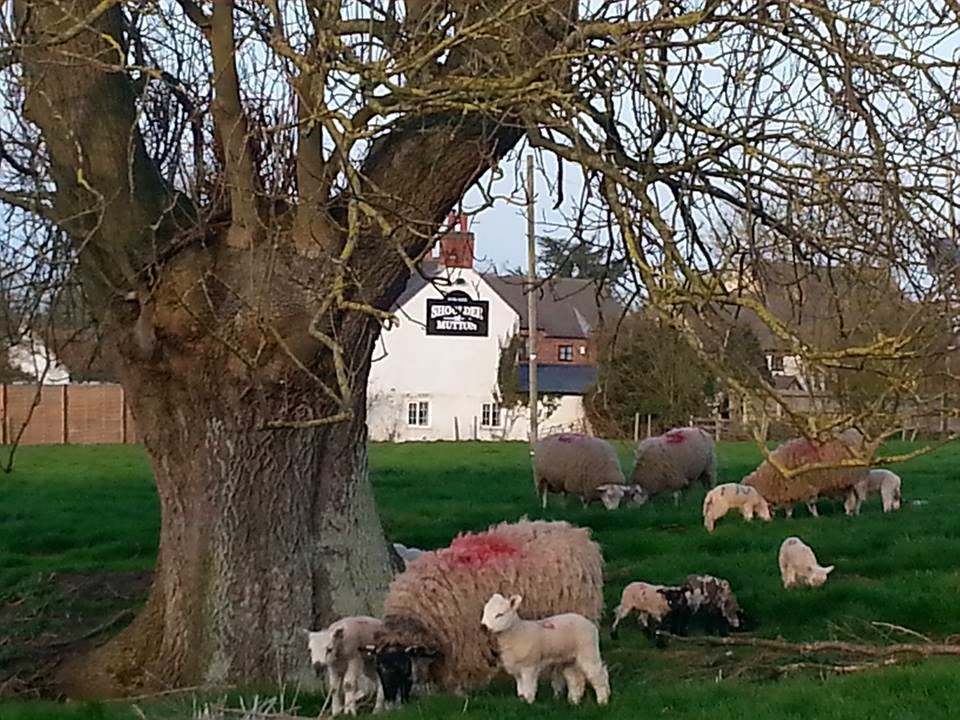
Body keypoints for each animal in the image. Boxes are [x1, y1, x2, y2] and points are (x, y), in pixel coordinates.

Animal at [481, 593, 610, 706]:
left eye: (499, 614)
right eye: (485, 612)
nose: (483, 627)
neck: (517, 632)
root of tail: (589, 623)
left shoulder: (529, 666)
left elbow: (528, 688)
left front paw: (529, 703)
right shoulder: (517, 668)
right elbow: (520, 690)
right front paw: (522, 702)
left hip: (588, 650)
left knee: (598, 675)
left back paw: (602, 700)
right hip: (569, 658)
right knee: (575, 679)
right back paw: (574, 701)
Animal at [743, 428, 873, 512]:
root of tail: (856, 434)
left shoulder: (808, 486)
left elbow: (811, 503)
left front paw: (816, 516)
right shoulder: (793, 488)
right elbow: (790, 507)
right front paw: (789, 518)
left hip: (859, 478)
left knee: (859, 498)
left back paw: (856, 512)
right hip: (848, 480)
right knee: (851, 497)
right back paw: (848, 511)